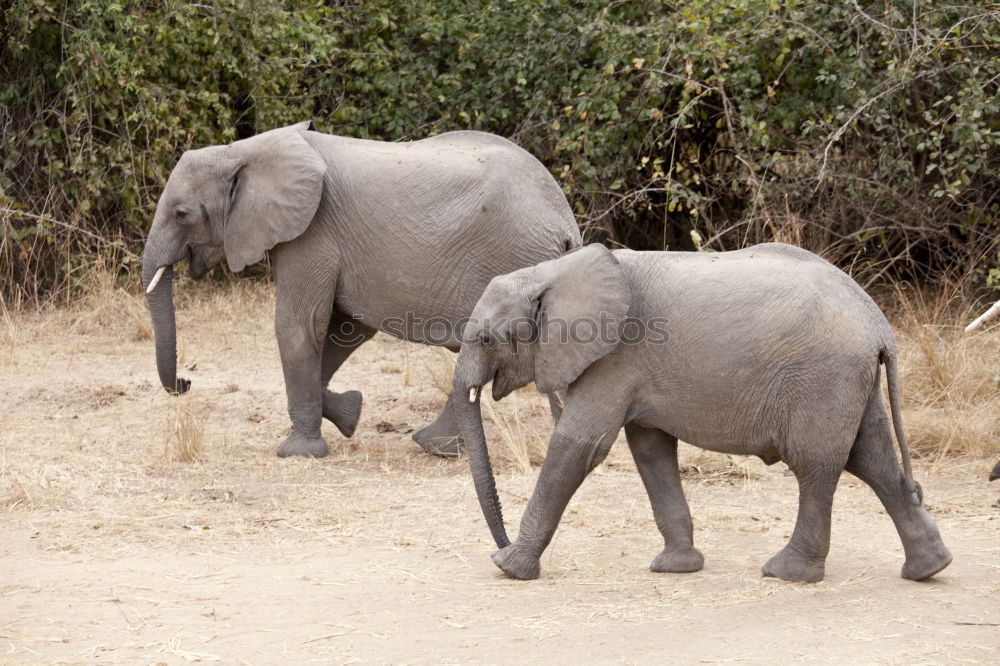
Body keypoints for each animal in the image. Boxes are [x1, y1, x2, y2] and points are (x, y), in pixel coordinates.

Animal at [141, 120, 580, 456]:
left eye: (181, 214)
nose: (186, 383)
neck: (243, 152)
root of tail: (565, 224)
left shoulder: (313, 233)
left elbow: (300, 325)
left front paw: (299, 452)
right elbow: (345, 330)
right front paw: (348, 413)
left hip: (512, 259)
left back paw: (436, 446)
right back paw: (438, 447)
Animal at [454, 241, 952, 580]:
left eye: (486, 338)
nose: (499, 543)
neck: (549, 274)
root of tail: (877, 322)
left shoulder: (613, 359)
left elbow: (579, 446)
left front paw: (510, 568)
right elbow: (650, 451)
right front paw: (676, 567)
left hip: (824, 376)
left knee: (817, 466)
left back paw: (787, 573)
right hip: (849, 378)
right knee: (873, 459)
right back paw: (930, 568)